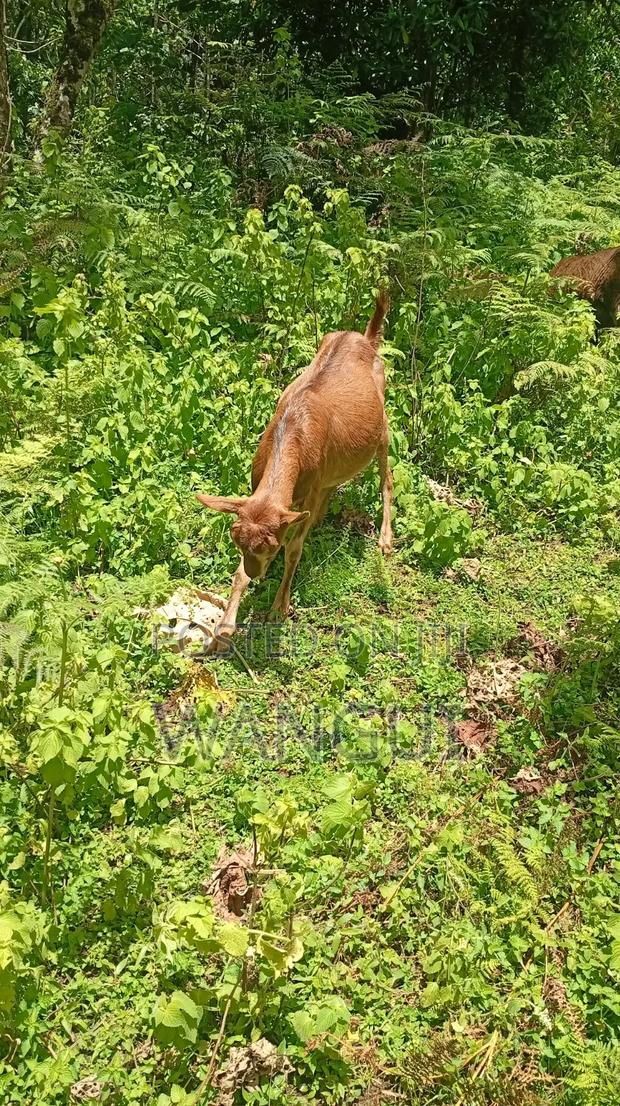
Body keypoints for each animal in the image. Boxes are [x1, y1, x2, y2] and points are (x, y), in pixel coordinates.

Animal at [197, 293, 393, 651]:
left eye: (270, 547)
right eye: (238, 544)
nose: (256, 573)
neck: (292, 433)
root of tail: (367, 337)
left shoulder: (307, 493)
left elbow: (295, 549)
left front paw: (279, 606)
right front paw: (224, 629)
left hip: (383, 428)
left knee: (387, 478)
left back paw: (385, 540)